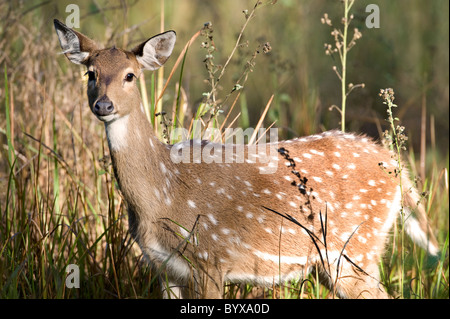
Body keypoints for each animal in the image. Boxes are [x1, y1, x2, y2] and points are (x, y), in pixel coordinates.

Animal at [52, 20, 436, 300]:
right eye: (90, 73)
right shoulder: (164, 268)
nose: (103, 105)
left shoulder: (209, 259)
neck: (162, 195)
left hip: (355, 247)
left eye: (130, 76)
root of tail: (394, 164)